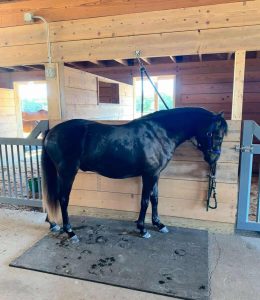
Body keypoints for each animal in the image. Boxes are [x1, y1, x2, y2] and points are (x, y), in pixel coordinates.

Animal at [41, 106, 226, 243]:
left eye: (222, 135)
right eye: (211, 133)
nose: (213, 159)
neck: (159, 133)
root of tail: (52, 132)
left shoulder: (155, 174)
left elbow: (155, 198)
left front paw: (159, 224)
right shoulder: (149, 175)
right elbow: (145, 201)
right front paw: (143, 229)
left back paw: (53, 224)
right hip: (67, 172)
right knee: (63, 199)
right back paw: (70, 232)